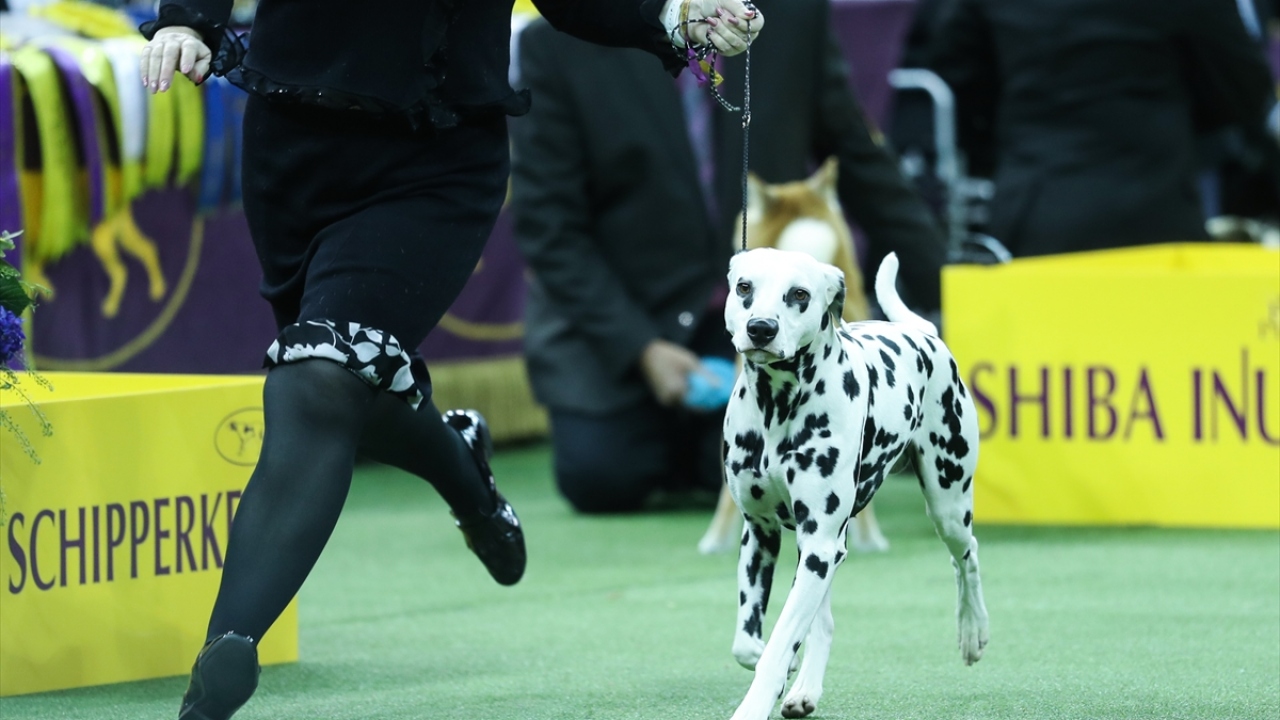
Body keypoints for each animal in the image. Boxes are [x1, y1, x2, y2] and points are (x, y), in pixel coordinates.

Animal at [720, 248, 989, 720]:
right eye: (744, 287)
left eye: (799, 294)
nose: (761, 328)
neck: (777, 406)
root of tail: (921, 333)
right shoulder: (762, 535)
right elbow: (751, 644)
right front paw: (781, 668)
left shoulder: (819, 543)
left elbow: (777, 646)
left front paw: (755, 703)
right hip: (822, 551)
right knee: (823, 622)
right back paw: (804, 688)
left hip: (948, 507)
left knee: (967, 557)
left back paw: (973, 629)